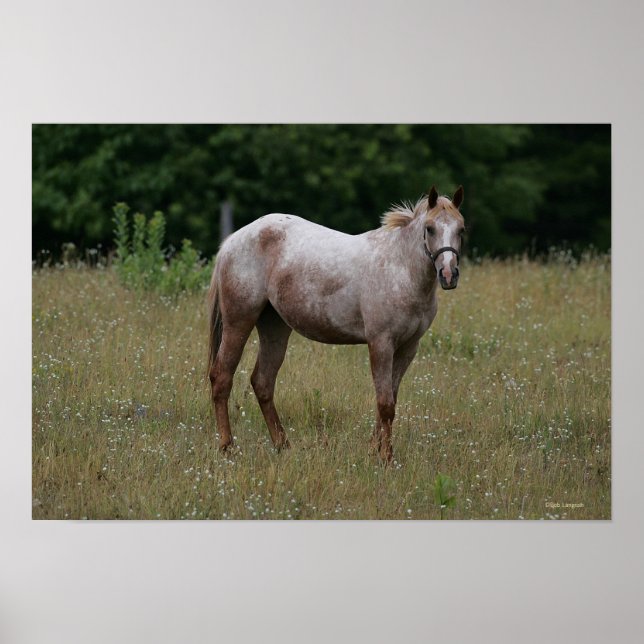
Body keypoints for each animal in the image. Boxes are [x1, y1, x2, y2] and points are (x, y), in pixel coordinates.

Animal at [207, 185, 465, 462]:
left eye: (461, 229)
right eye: (430, 228)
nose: (448, 275)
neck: (401, 269)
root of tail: (231, 242)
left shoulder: (408, 348)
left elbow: (389, 400)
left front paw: (374, 450)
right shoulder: (381, 344)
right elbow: (385, 404)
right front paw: (385, 457)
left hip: (274, 328)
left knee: (263, 383)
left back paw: (282, 445)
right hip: (239, 321)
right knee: (222, 376)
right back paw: (227, 446)